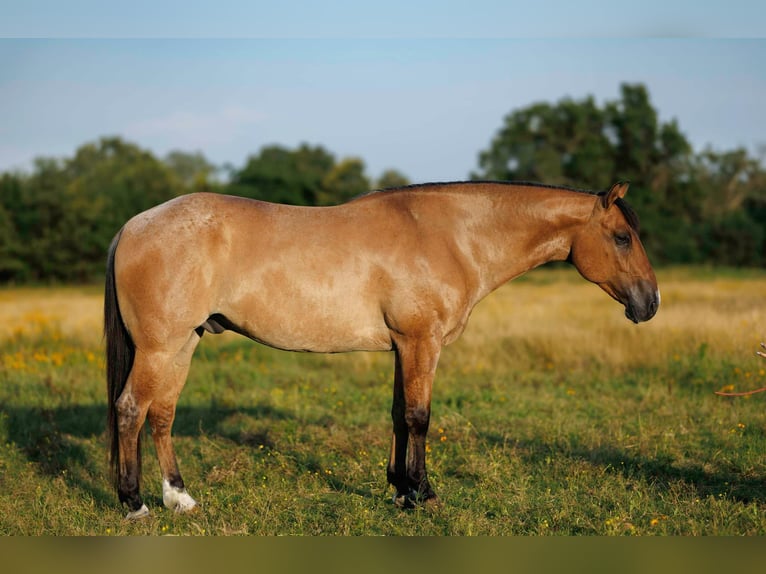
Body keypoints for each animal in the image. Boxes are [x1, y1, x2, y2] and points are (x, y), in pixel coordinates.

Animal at [105, 180, 659, 519]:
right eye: (622, 237)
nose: (650, 303)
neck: (451, 236)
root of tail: (133, 225)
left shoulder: (403, 346)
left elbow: (398, 415)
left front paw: (399, 490)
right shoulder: (421, 343)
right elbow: (419, 417)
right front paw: (423, 495)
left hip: (183, 344)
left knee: (162, 414)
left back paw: (179, 498)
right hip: (160, 348)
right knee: (131, 410)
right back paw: (134, 503)